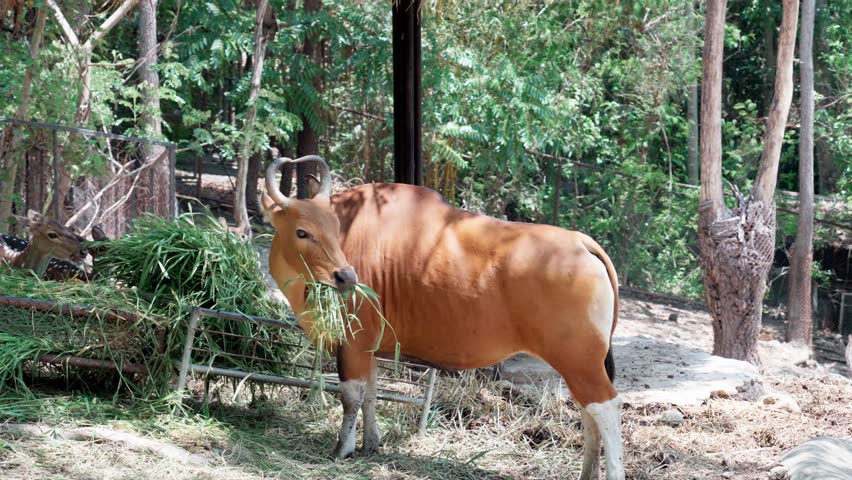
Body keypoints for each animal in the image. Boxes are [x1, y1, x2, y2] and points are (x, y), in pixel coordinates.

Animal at [262, 155, 624, 480]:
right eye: (302, 232)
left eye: (334, 227)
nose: (346, 277)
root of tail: (582, 242)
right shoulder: (370, 348)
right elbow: (372, 394)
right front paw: (371, 443)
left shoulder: (353, 343)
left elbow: (351, 397)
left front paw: (343, 448)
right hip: (578, 364)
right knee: (588, 413)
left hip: (580, 362)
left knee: (607, 409)